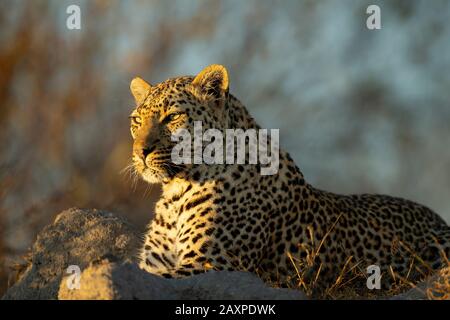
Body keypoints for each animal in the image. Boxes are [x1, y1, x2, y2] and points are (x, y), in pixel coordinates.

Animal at [127, 63, 450, 296]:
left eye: (172, 117)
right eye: (136, 121)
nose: (141, 152)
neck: (176, 192)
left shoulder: (211, 265)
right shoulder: (154, 263)